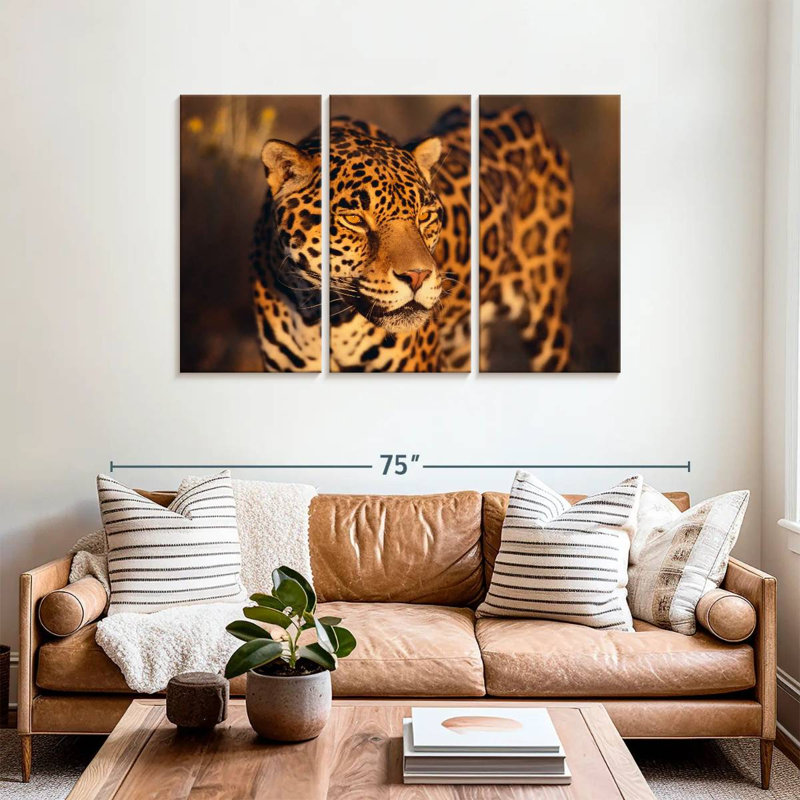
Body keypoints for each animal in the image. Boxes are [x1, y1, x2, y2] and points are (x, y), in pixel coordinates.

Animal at [249, 105, 573, 373]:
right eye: (354, 220)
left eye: (425, 216)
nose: (417, 277)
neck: (324, 319)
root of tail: (520, 110)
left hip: (548, 318)